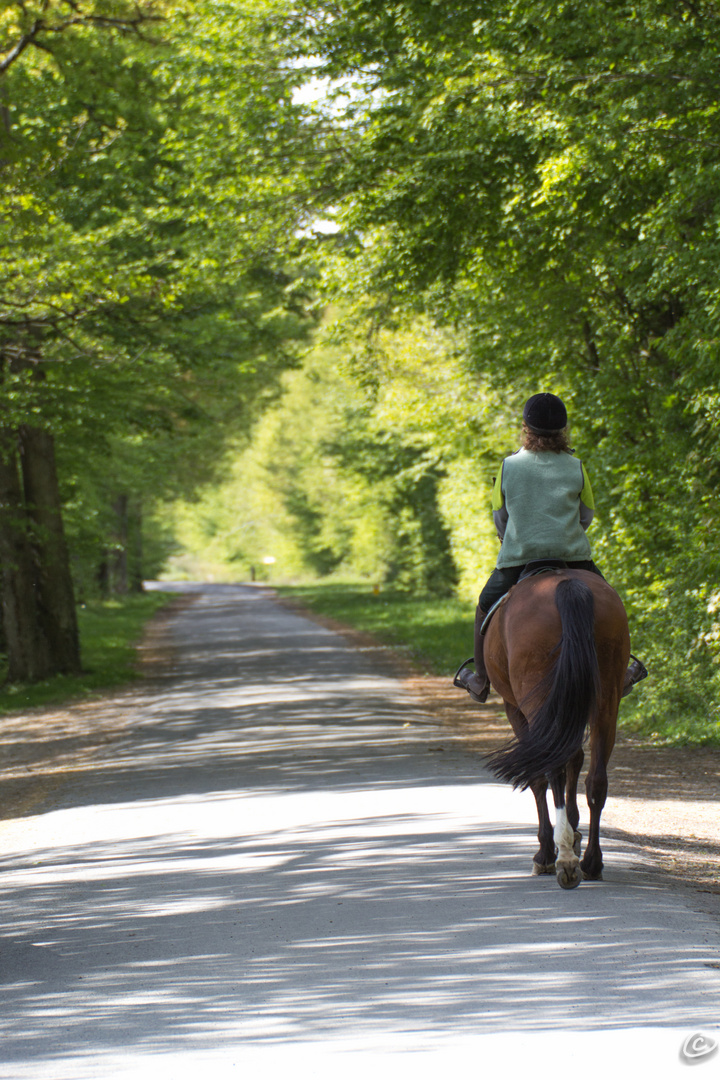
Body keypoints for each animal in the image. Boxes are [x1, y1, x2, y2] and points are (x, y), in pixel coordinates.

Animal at [483, 570, 630, 889]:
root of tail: (567, 584)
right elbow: (574, 760)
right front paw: (575, 832)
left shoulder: (514, 708)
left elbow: (540, 777)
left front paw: (547, 853)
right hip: (606, 700)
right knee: (596, 780)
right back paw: (591, 861)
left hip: (536, 699)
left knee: (551, 769)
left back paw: (564, 859)